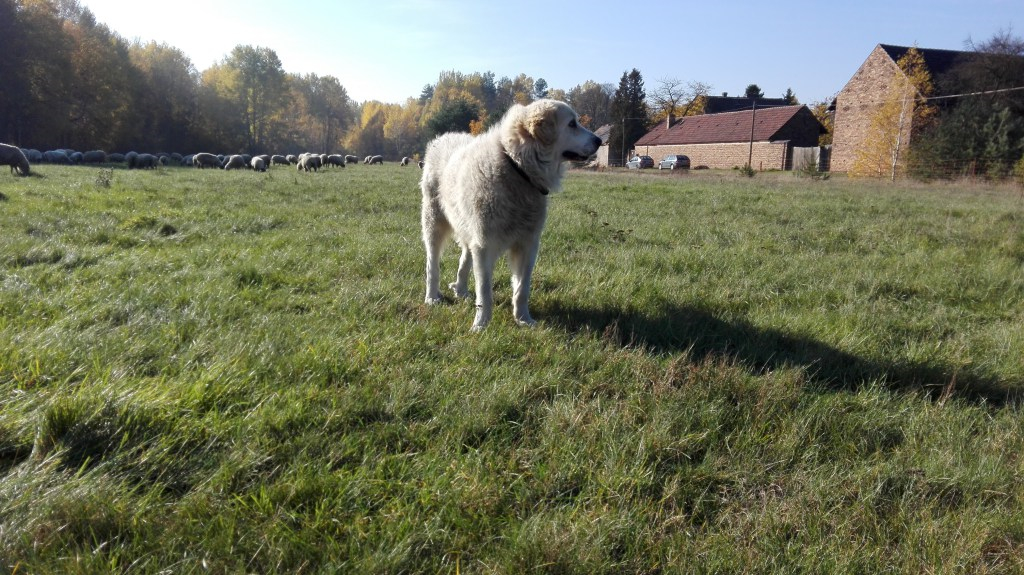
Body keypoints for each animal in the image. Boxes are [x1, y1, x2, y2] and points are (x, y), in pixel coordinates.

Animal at [419, 100, 602, 329]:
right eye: (571, 124)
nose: (600, 141)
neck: (516, 168)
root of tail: (441, 138)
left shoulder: (528, 244)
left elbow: (522, 288)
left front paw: (524, 320)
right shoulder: (485, 245)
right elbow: (484, 291)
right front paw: (481, 325)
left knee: (465, 259)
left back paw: (461, 290)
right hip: (434, 224)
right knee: (431, 265)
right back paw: (431, 297)